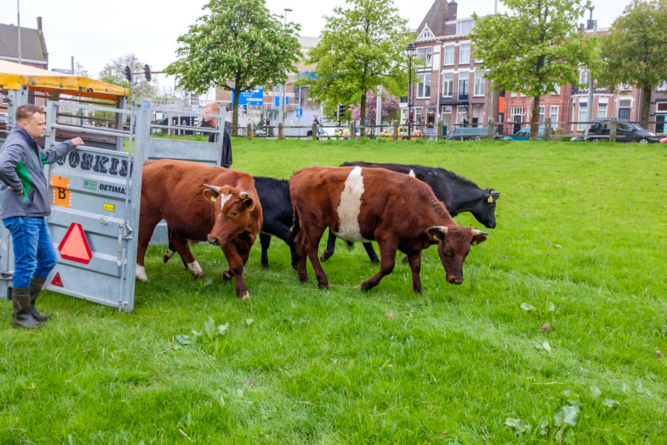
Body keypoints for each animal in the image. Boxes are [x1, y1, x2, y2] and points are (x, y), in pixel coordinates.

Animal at [134, 159, 262, 298]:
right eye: (215, 210)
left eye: (234, 213)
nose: (212, 239)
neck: (244, 231)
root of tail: (150, 163)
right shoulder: (224, 239)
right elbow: (237, 264)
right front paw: (243, 292)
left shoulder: (248, 239)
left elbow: (243, 260)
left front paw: (227, 274)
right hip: (147, 216)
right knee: (141, 243)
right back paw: (141, 276)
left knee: (179, 242)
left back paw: (198, 272)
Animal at [163, 175, 296, 268]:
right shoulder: (273, 224)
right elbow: (291, 238)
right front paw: (295, 264)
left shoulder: (263, 228)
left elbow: (265, 244)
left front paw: (265, 264)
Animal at [290, 166, 488, 292]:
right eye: (447, 250)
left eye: (467, 252)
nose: (457, 279)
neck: (414, 202)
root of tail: (301, 172)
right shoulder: (387, 236)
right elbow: (387, 266)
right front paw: (366, 285)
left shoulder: (415, 243)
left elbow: (416, 266)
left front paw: (418, 290)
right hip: (315, 223)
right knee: (310, 248)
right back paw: (322, 281)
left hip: (307, 224)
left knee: (299, 242)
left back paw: (303, 277)